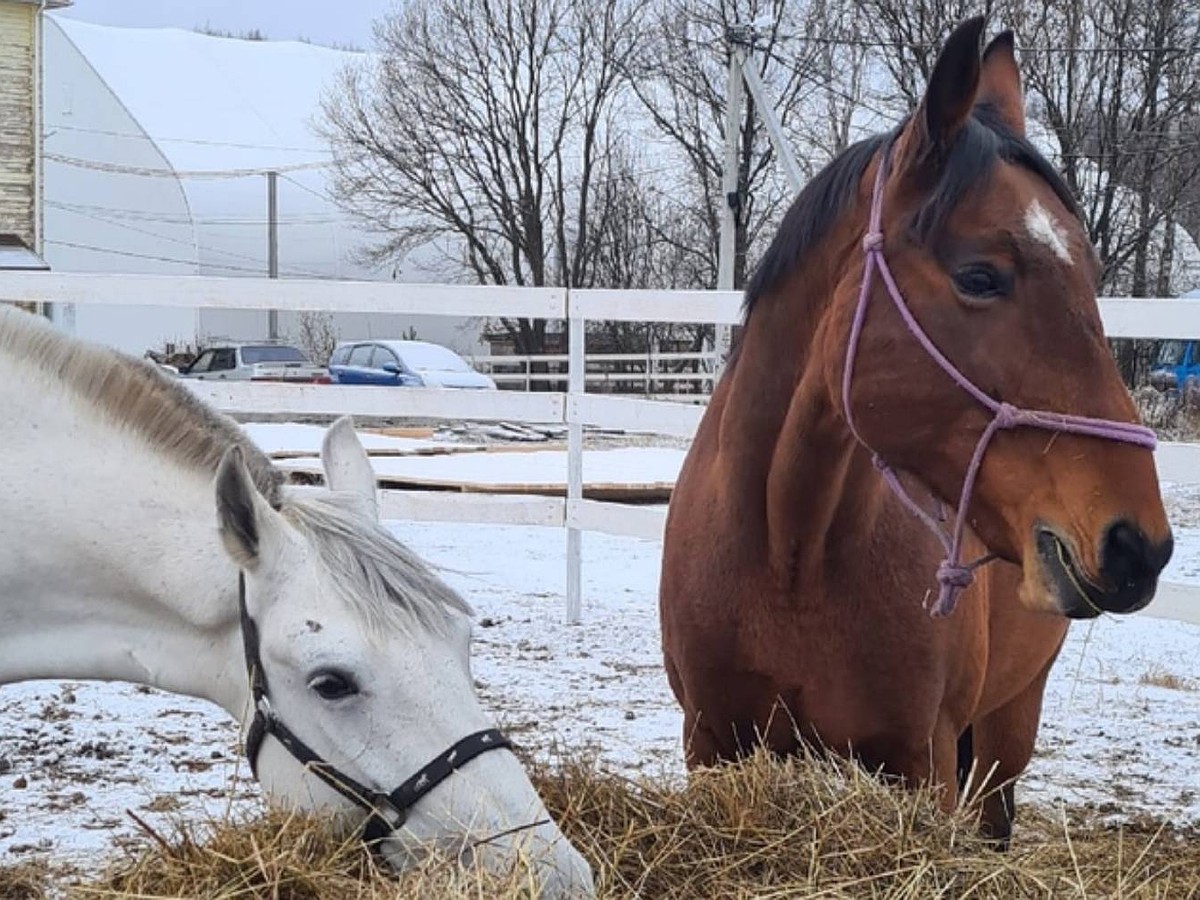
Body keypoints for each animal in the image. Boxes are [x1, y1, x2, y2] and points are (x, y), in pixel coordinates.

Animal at [657, 15, 1171, 844]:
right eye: (980, 276)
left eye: (1092, 278)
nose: (1138, 544)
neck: (789, 554)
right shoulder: (711, 742)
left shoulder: (921, 760)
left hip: (1008, 726)